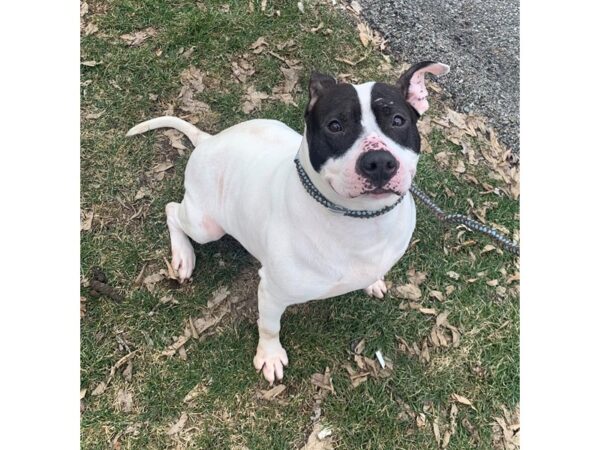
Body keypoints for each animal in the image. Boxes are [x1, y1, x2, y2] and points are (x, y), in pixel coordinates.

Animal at [130, 59, 450, 384]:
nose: (380, 163)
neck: (362, 220)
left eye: (398, 120)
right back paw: (183, 256)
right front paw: (270, 356)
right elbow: (270, 327)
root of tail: (209, 140)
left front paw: (373, 282)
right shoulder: (272, 291)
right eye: (335, 125)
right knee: (172, 210)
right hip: (206, 225)